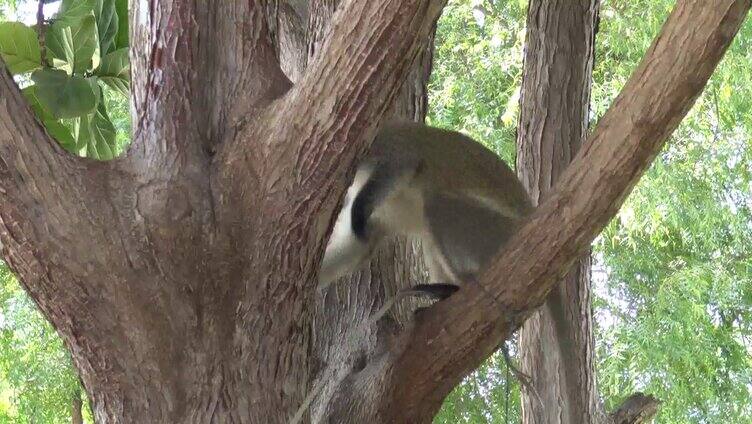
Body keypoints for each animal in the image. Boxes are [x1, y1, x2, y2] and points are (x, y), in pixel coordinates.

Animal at [318, 121, 536, 300]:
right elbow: (356, 246)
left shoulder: (379, 143)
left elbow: (404, 163)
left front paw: (359, 212)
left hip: (498, 234)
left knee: (436, 202)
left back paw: (458, 286)